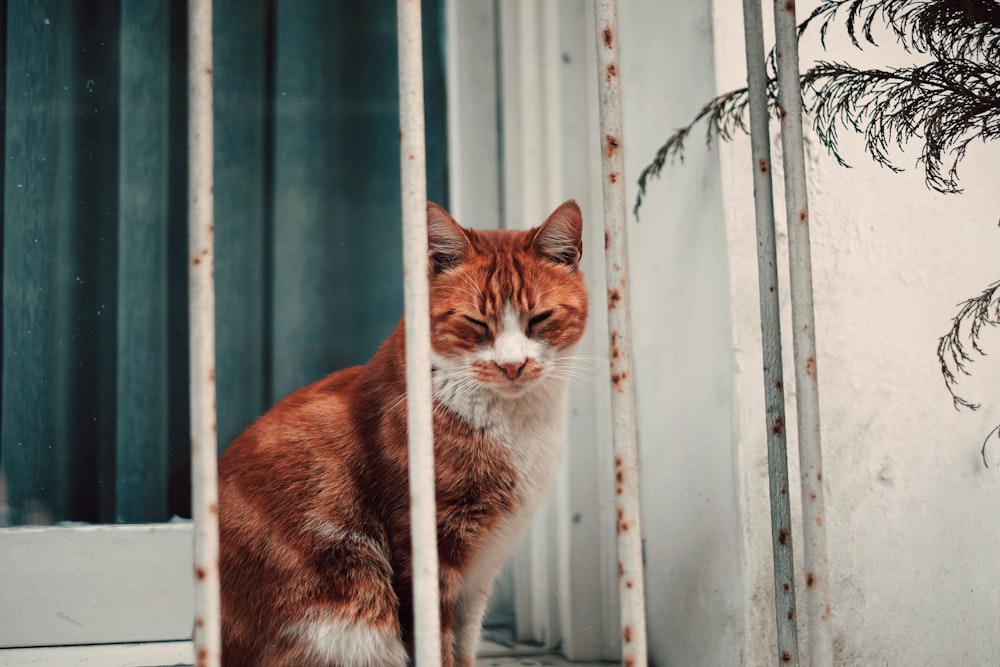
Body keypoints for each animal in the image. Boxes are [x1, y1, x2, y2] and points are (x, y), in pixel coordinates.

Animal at [219, 200, 584, 667]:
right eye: (476, 323)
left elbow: (464, 641)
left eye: (540, 319)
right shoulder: (426, 547)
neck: (515, 425)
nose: (512, 365)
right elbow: (436, 641)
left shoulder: (482, 567)